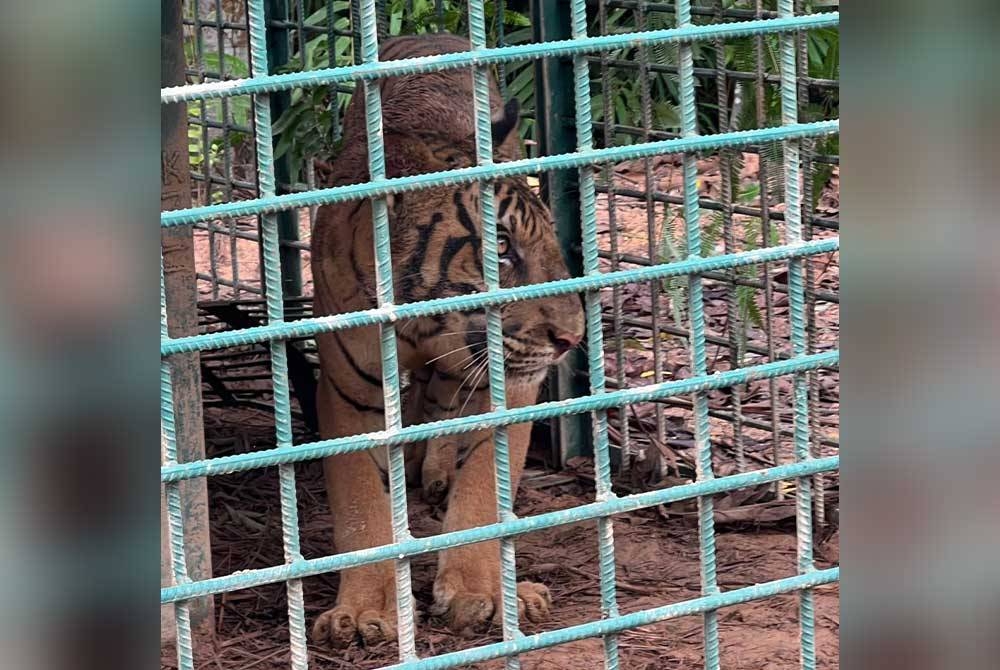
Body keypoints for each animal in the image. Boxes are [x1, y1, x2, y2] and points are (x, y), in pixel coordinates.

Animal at [308, 32, 584, 652]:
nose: (572, 337)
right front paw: (366, 609)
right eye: (501, 248)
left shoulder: (509, 385)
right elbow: (362, 503)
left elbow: (483, 488)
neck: (426, 323)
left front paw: (481, 594)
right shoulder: (349, 391)